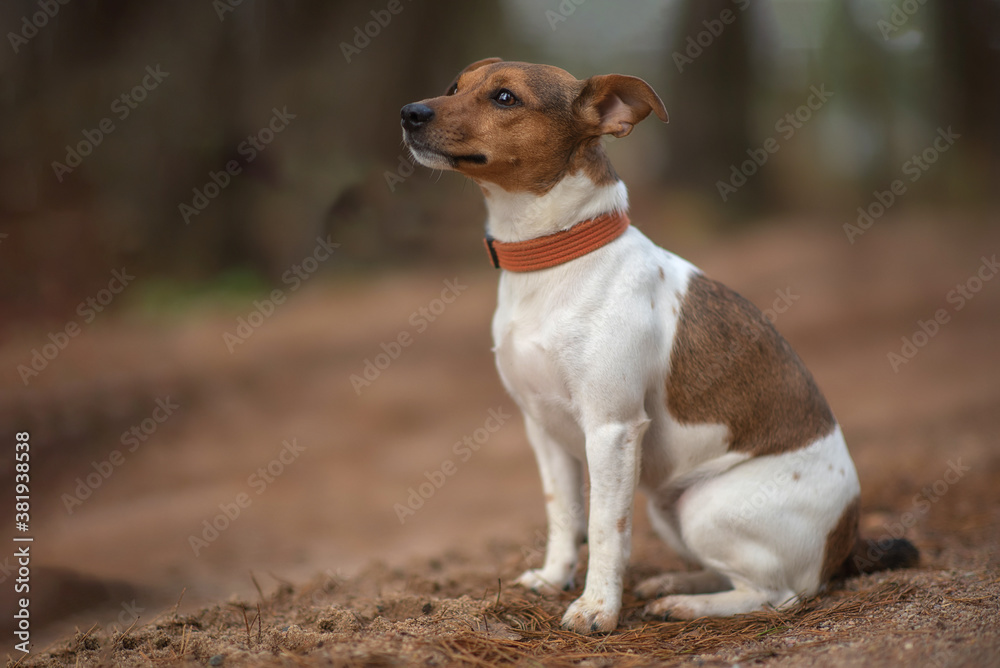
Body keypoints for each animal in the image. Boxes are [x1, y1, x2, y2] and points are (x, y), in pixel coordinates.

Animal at [396, 56, 916, 632]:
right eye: (454, 87)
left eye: (505, 98)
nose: (409, 113)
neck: (552, 257)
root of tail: (844, 542)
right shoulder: (543, 431)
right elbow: (564, 514)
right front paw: (554, 579)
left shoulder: (611, 431)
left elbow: (605, 529)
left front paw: (597, 609)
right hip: (670, 509)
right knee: (733, 575)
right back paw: (675, 583)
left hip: (706, 508)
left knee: (777, 594)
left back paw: (688, 605)